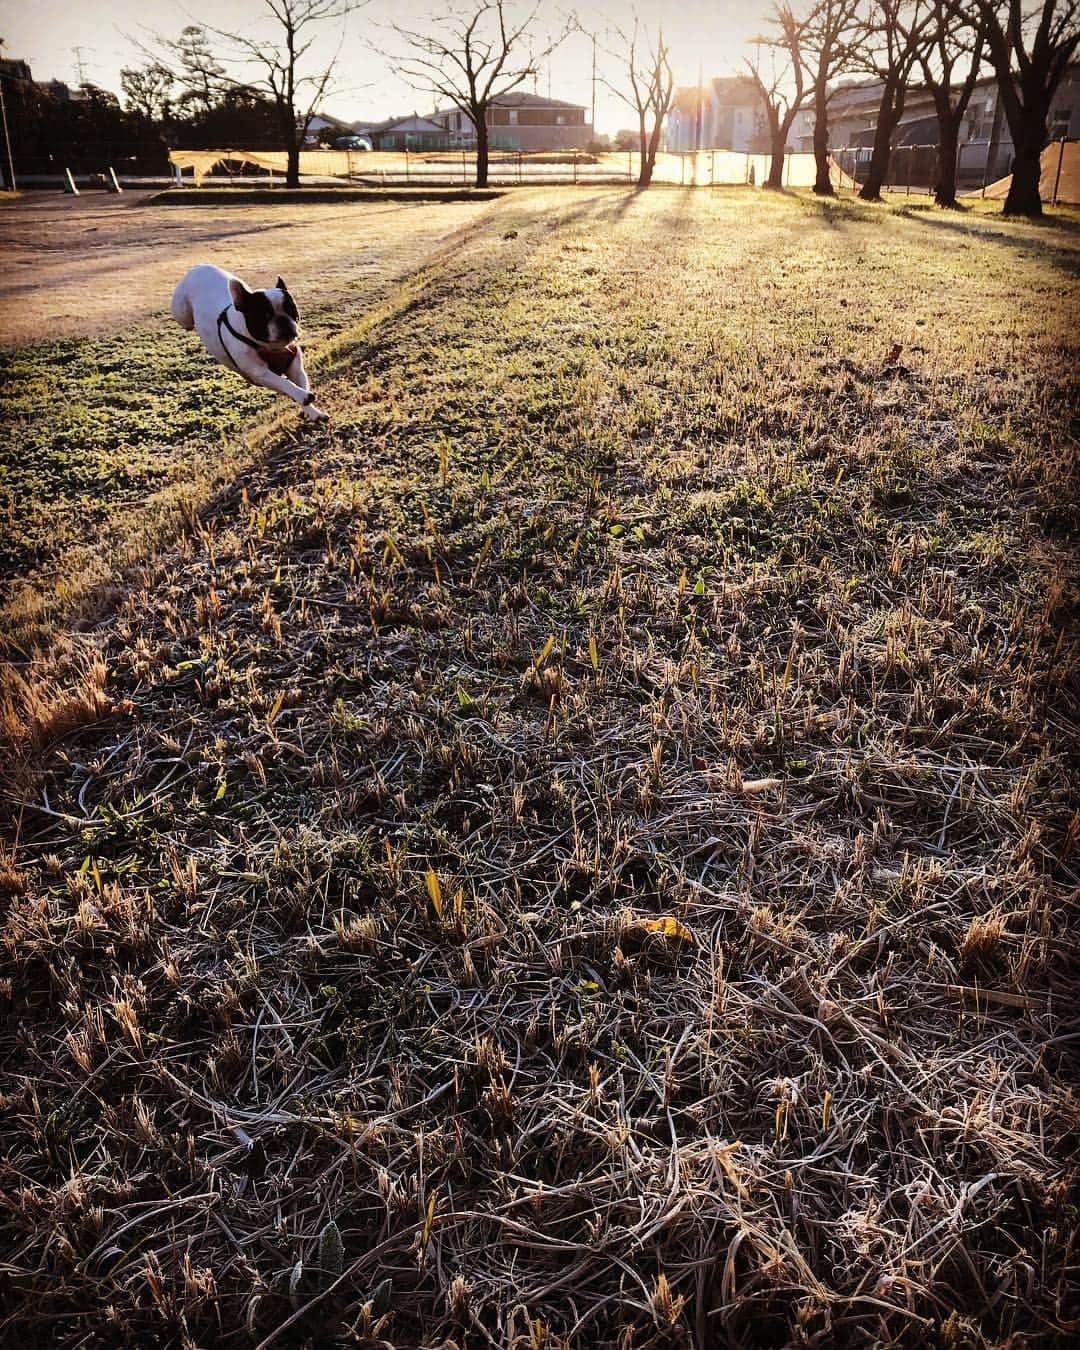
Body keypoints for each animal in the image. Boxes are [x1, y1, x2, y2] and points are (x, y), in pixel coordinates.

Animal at [168, 267, 326, 423]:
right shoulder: (261, 373)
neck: (272, 347)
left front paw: (314, 412)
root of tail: (197, 268)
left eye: (292, 310)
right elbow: (285, 383)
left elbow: (301, 383)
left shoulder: (295, 368)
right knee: (185, 320)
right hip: (181, 313)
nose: (283, 320)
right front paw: (303, 396)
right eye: (264, 315)